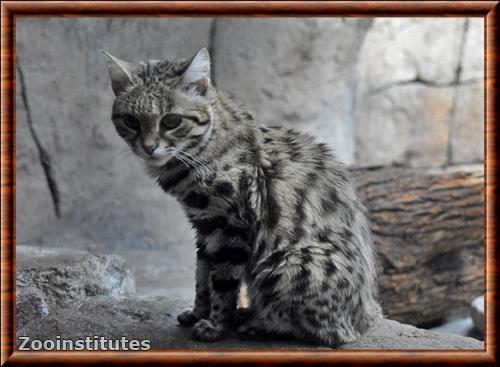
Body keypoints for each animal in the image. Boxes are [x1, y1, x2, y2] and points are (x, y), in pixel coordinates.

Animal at [103, 47, 380, 346]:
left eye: (171, 120)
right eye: (131, 120)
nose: (148, 148)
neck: (203, 147)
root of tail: (364, 316)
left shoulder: (232, 225)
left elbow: (222, 284)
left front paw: (214, 326)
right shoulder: (205, 226)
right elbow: (201, 277)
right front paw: (197, 313)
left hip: (287, 264)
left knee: (327, 332)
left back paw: (257, 322)